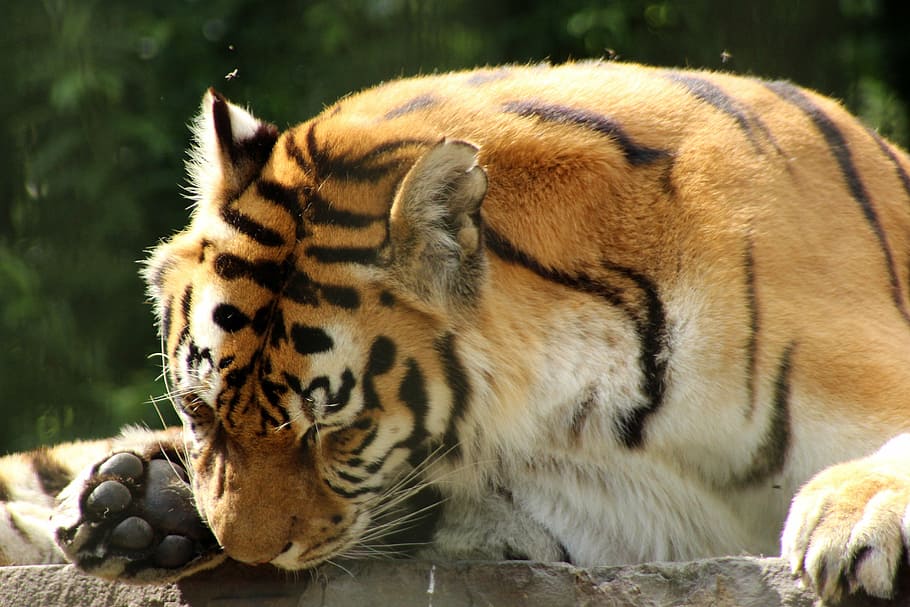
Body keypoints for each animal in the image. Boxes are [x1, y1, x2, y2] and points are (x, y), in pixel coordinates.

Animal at [1, 60, 910, 604]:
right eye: (197, 410)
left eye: (336, 431)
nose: (251, 555)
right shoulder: (600, 511)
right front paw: (150, 504)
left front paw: (852, 516)